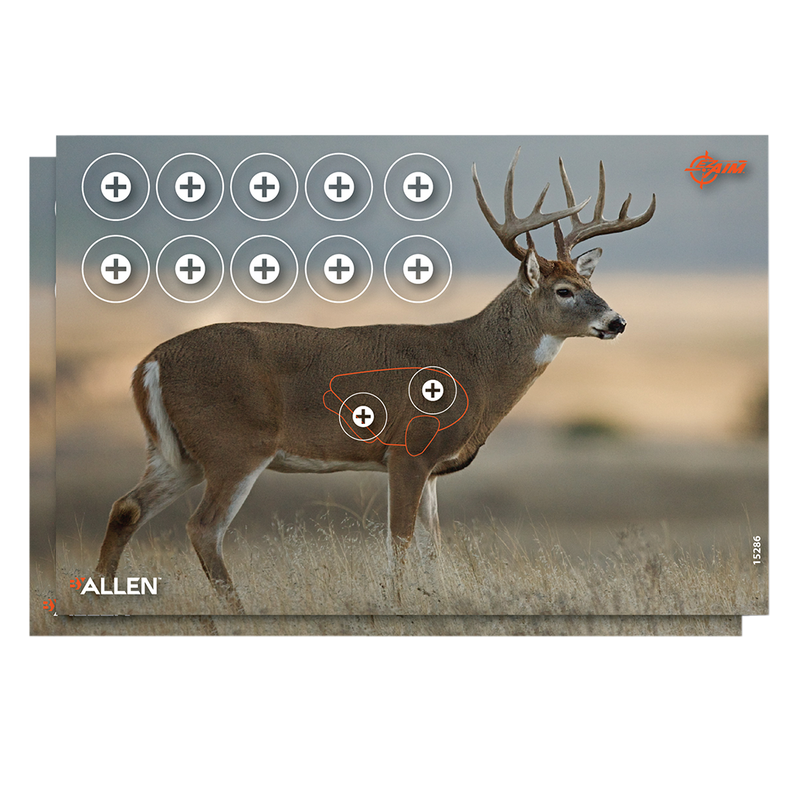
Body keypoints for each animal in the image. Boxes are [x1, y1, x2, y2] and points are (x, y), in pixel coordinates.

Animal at [94, 147, 656, 613]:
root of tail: (150, 362)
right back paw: (237, 613)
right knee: (203, 528)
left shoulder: (432, 468)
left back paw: (100, 601)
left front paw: (434, 600)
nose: (617, 322)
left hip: (179, 453)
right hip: (235, 444)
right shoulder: (407, 450)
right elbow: (400, 540)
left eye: (589, 282)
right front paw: (397, 605)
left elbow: (432, 546)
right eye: (564, 291)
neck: (474, 366)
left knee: (126, 507)